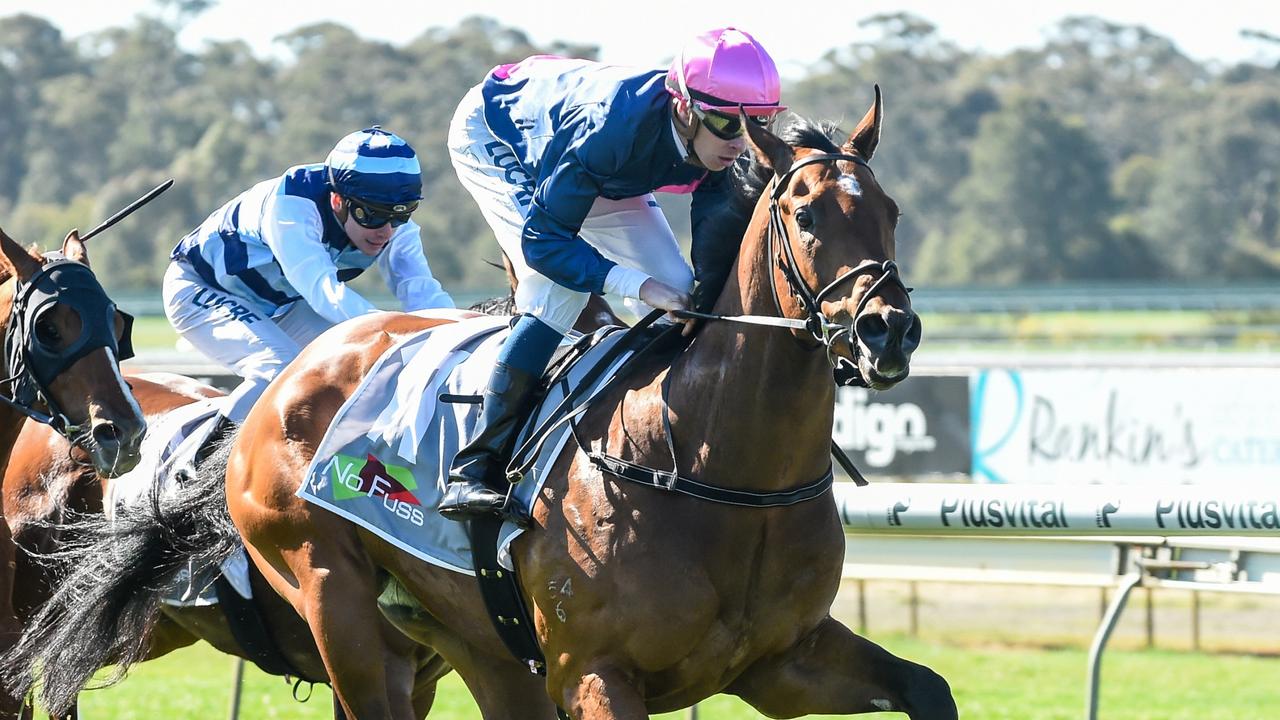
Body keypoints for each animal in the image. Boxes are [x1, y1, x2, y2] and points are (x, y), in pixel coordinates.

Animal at [222, 92, 952, 712]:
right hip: (338, 607)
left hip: (476, 645)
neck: (706, 463)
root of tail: (291, 374)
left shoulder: (783, 661)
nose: (888, 329)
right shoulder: (593, 673)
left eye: (891, 212)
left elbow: (928, 688)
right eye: (805, 215)